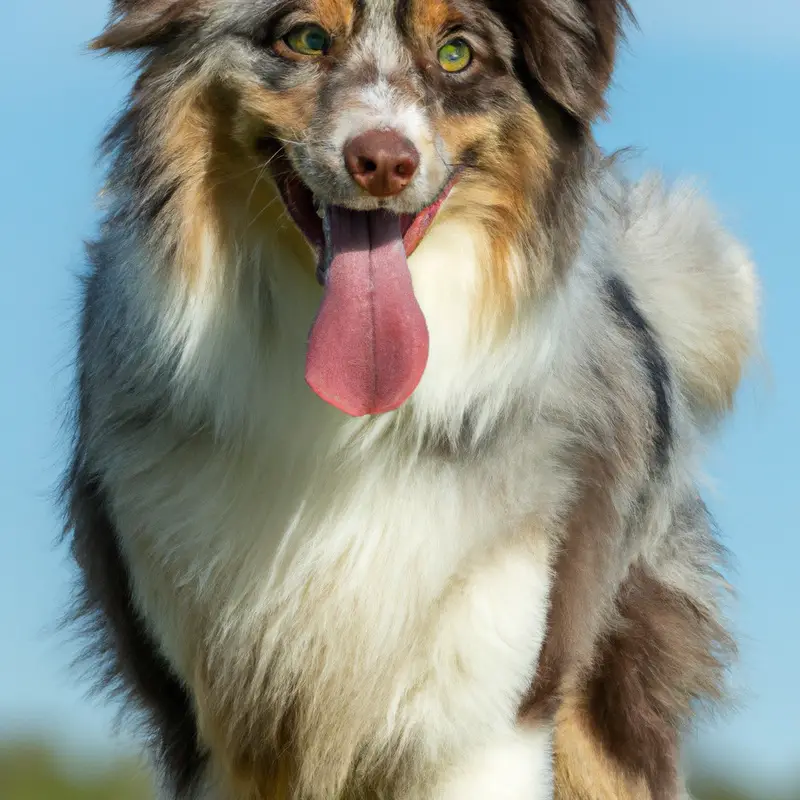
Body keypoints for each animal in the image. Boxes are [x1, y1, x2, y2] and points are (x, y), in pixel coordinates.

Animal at [65, 0, 760, 796]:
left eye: (457, 53)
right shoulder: (213, 723)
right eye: (305, 38)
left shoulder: (487, 712)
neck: (345, 426)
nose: (383, 161)